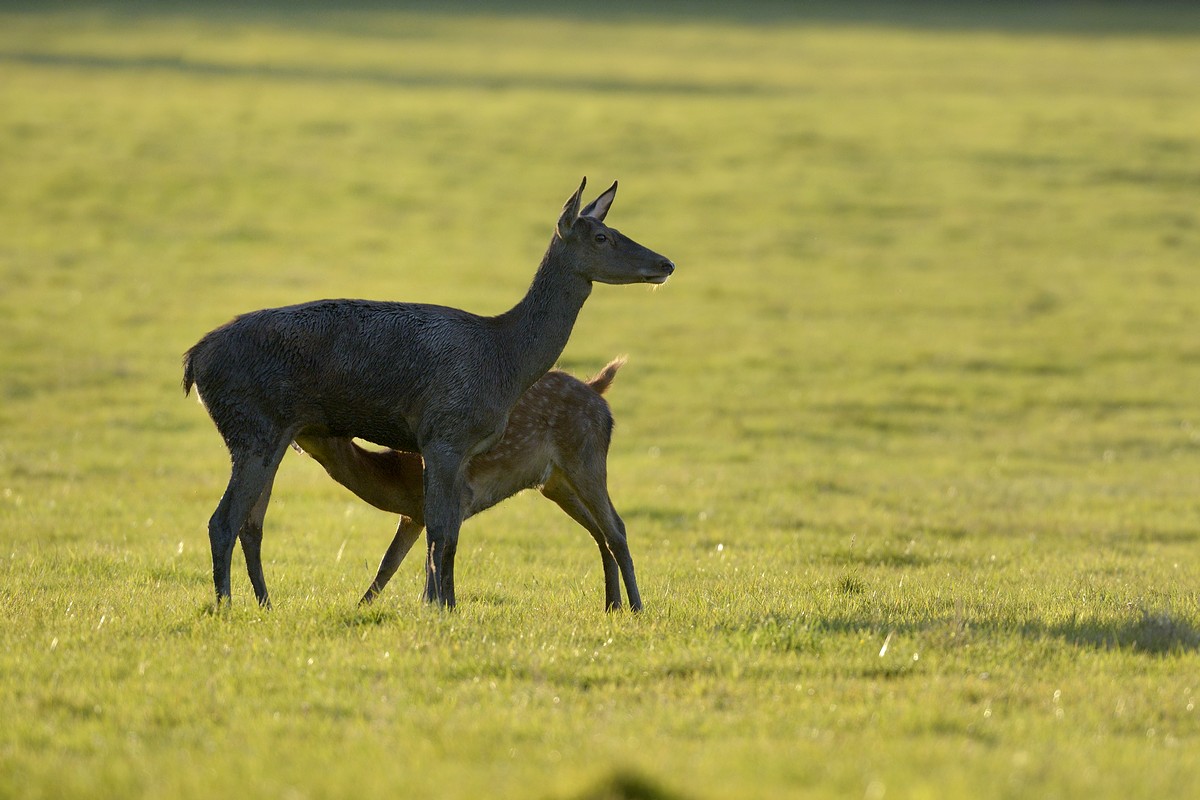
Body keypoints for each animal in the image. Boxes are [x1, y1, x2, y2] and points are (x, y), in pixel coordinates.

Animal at [291, 359, 643, 609]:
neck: (398, 478)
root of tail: (596, 389)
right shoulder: (414, 514)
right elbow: (389, 562)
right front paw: (362, 605)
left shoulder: (460, 496)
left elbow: (442, 550)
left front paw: (438, 605)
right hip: (555, 483)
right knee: (599, 533)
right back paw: (612, 605)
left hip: (587, 457)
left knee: (616, 528)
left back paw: (636, 607)